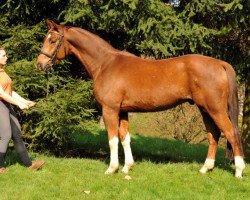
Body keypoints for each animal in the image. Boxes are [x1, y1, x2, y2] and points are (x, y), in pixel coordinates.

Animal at [36, 20, 245, 177]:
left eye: (53, 40)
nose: (39, 64)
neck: (105, 64)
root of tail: (220, 63)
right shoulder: (122, 111)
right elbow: (125, 138)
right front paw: (127, 167)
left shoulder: (109, 109)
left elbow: (112, 139)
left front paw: (112, 168)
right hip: (205, 110)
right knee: (214, 135)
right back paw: (205, 168)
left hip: (216, 110)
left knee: (232, 134)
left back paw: (239, 171)